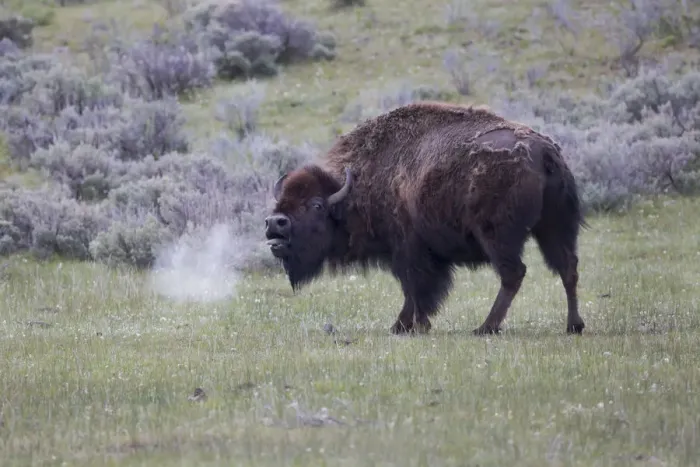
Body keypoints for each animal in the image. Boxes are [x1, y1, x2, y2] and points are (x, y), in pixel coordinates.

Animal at [264, 101, 586, 335]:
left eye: (317, 205)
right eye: (282, 201)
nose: (275, 223)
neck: (355, 185)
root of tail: (545, 153)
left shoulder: (408, 251)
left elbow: (414, 288)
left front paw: (408, 325)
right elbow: (416, 290)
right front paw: (406, 325)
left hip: (498, 236)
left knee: (514, 274)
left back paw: (485, 327)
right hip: (555, 228)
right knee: (567, 267)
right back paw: (574, 325)